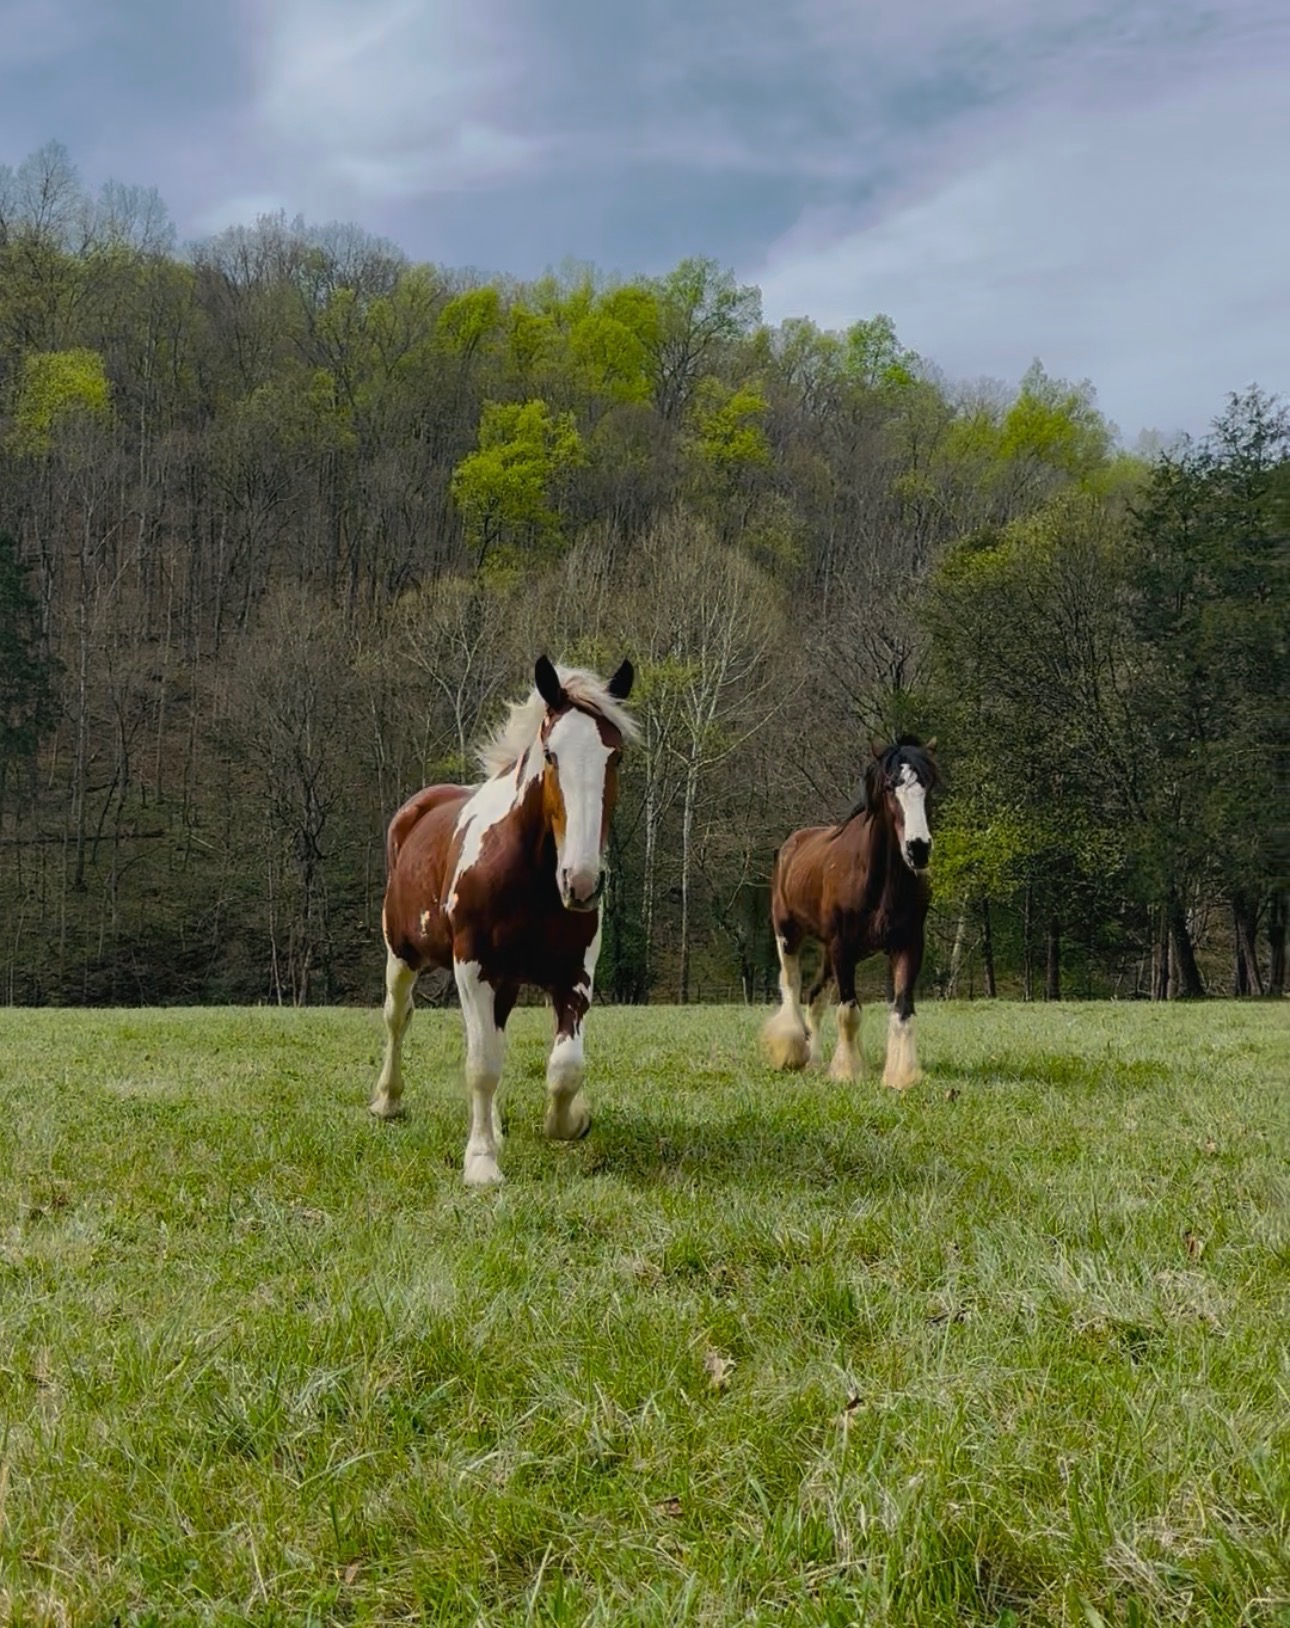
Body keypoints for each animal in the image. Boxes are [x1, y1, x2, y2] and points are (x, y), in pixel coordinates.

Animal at [371, 655, 637, 1185]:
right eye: (551, 755)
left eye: (614, 756)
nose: (581, 883)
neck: (529, 876)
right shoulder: (473, 967)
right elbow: (482, 1065)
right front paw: (481, 1163)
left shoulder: (574, 974)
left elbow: (565, 1066)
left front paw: (571, 1120)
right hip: (403, 954)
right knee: (399, 1017)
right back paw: (388, 1101)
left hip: (504, 981)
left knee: (490, 1035)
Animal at [762, 737, 939, 1090]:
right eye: (890, 787)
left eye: (927, 785)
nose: (918, 848)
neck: (879, 881)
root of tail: (791, 844)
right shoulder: (841, 945)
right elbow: (849, 1011)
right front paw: (848, 1072)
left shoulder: (908, 943)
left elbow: (902, 1009)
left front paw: (900, 1075)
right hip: (789, 934)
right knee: (792, 987)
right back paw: (795, 1052)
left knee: (815, 998)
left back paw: (816, 1062)